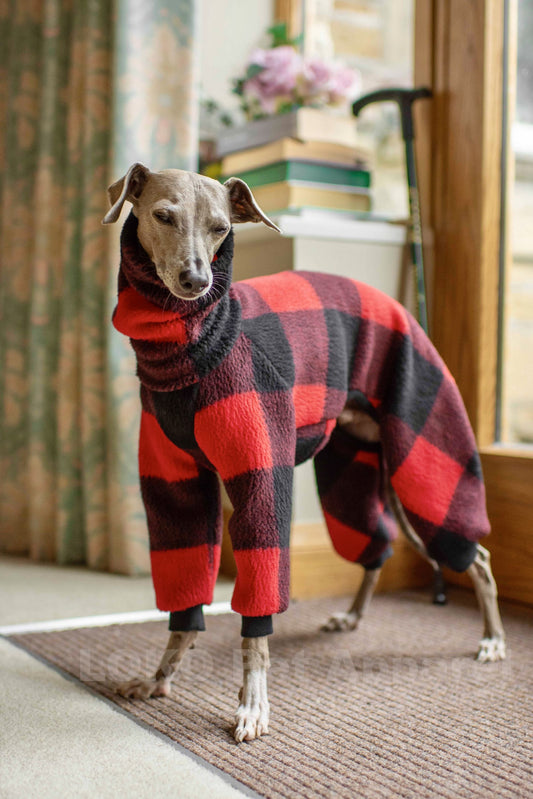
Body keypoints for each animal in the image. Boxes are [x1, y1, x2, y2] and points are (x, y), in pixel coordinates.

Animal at [102, 162, 504, 744]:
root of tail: (398, 307)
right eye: (163, 216)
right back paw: (352, 616)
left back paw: (492, 638)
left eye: (221, 228)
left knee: (476, 556)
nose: (196, 282)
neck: (191, 351)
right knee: (378, 546)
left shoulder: (261, 472)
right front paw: (161, 675)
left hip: (424, 460)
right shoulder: (174, 483)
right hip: (353, 473)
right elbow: (185, 595)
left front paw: (253, 704)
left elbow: (257, 619)